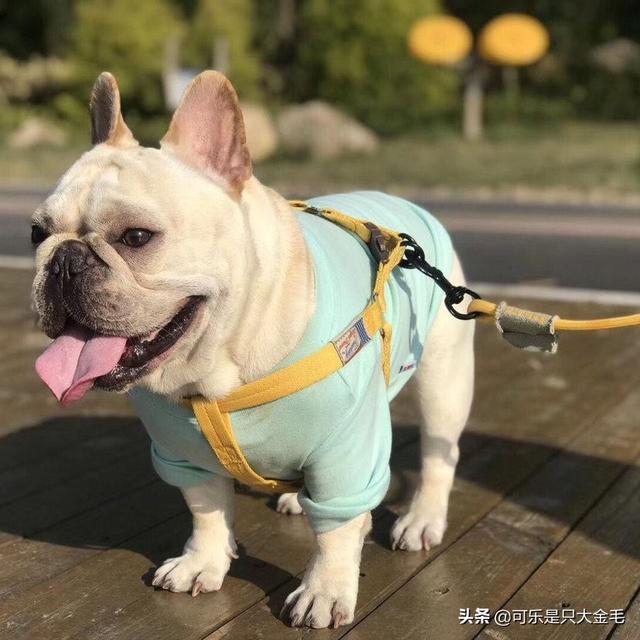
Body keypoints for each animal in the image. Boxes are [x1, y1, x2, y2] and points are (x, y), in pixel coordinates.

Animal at [31, 71, 475, 629]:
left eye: (136, 237)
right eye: (36, 234)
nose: (63, 261)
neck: (222, 370)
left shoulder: (349, 450)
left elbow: (338, 531)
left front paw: (324, 590)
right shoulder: (183, 454)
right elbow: (205, 511)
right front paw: (203, 563)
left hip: (444, 380)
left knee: (439, 456)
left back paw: (421, 519)